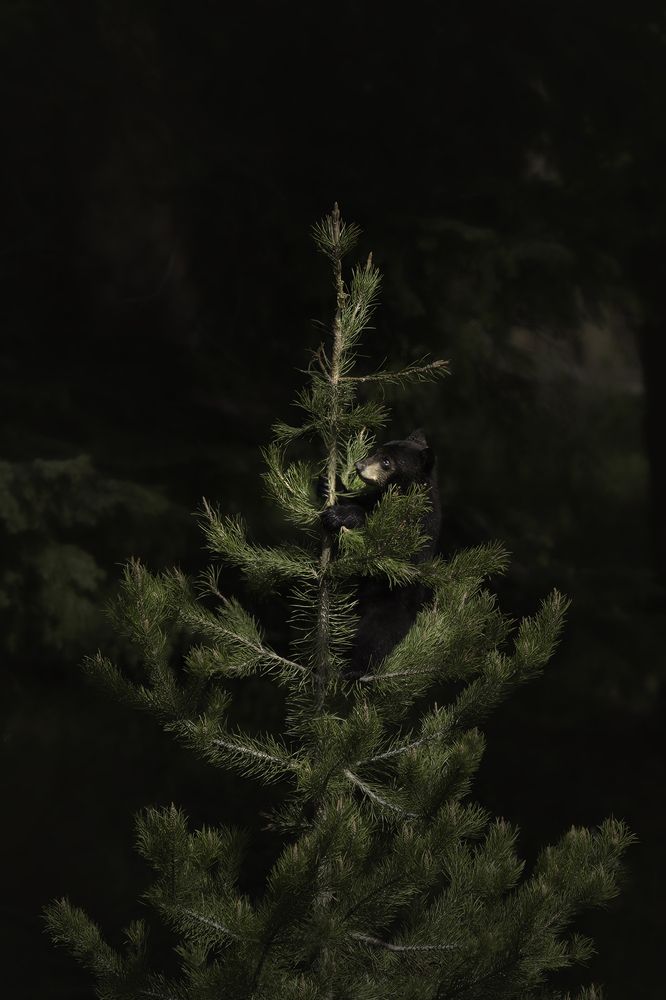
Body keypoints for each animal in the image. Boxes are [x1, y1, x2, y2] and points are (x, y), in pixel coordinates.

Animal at [320, 429, 441, 677]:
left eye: (386, 461)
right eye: (377, 450)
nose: (359, 465)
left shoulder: (419, 526)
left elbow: (393, 551)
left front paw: (342, 514)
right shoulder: (377, 498)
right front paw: (331, 485)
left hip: (389, 608)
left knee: (374, 638)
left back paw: (355, 670)